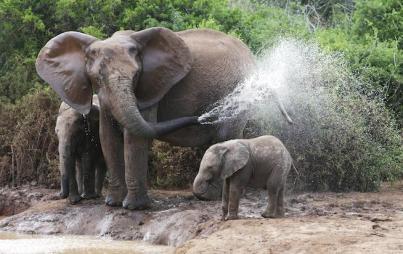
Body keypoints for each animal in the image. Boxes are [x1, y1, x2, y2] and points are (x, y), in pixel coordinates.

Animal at [35, 26, 294, 209]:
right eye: (97, 78)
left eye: (136, 75)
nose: (197, 117)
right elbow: (107, 136)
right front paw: (112, 204)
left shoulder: (149, 89)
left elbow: (134, 137)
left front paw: (134, 208)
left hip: (239, 91)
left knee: (224, 134)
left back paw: (207, 197)